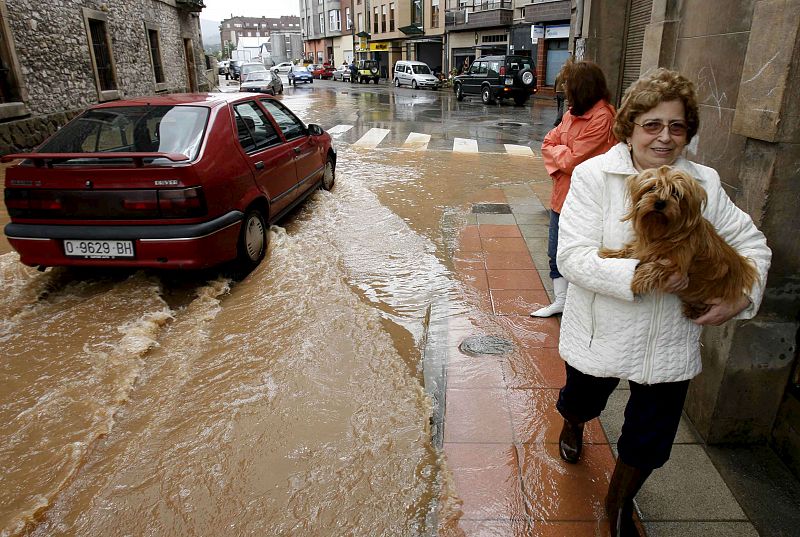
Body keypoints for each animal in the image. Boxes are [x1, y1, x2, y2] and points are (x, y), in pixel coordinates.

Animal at [600, 166, 756, 318]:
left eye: (675, 193)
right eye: (652, 187)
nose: (660, 203)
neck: (663, 230)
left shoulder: (677, 264)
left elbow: (656, 267)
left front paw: (638, 280)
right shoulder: (644, 247)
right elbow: (630, 250)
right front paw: (609, 253)